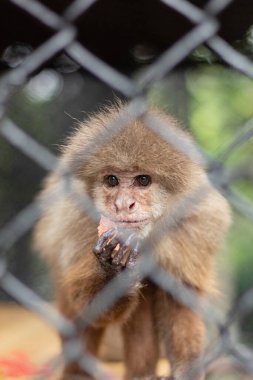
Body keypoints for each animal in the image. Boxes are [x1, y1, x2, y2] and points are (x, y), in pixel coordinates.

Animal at [33, 104, 231, 380]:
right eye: (112, 180)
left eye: (143, 180)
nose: (123, 204)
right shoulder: (74, 222)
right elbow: (84, 304)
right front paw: (113, 270)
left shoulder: (196, 222)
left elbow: (180, 297)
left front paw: (188, 370)